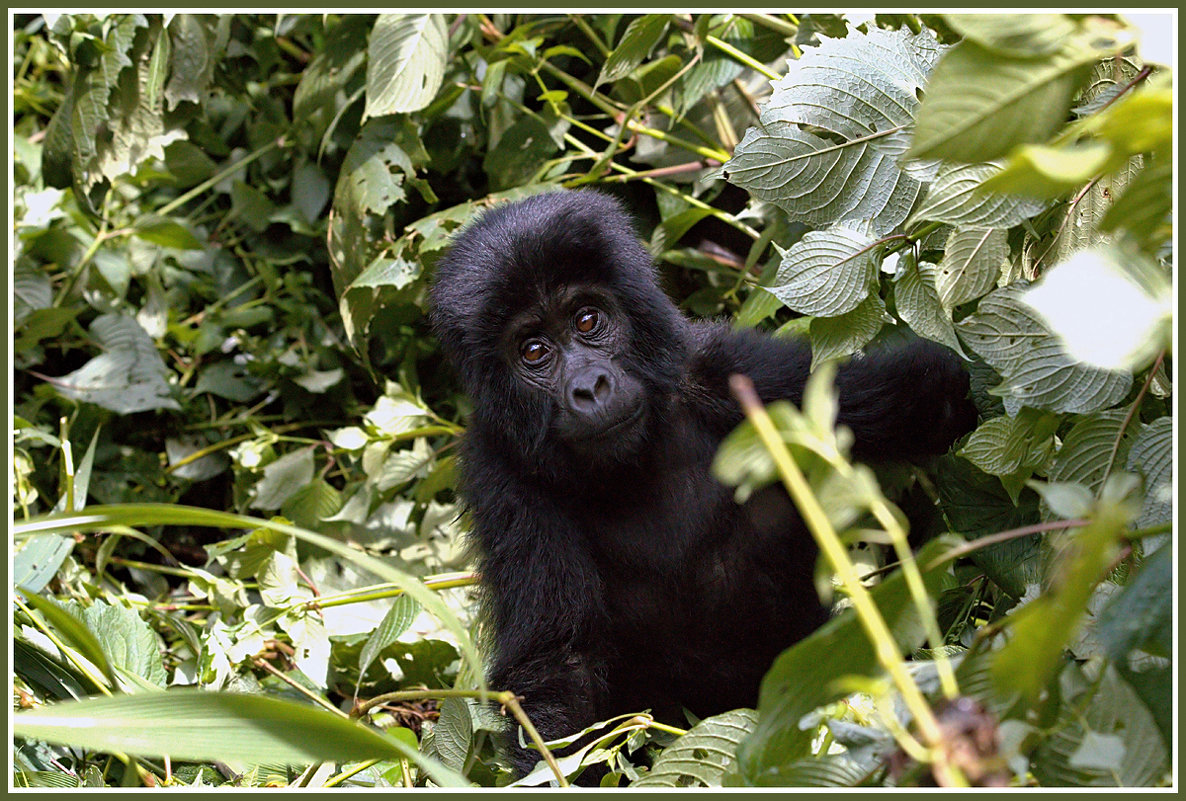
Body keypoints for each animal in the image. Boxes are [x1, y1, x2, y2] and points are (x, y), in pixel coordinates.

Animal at [431, 189, 977, 783]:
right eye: (533, 351)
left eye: (588, 319)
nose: (589, 387)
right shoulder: (500, 475)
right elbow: (559, 668)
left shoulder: (738, 372)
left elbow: (919, 399)